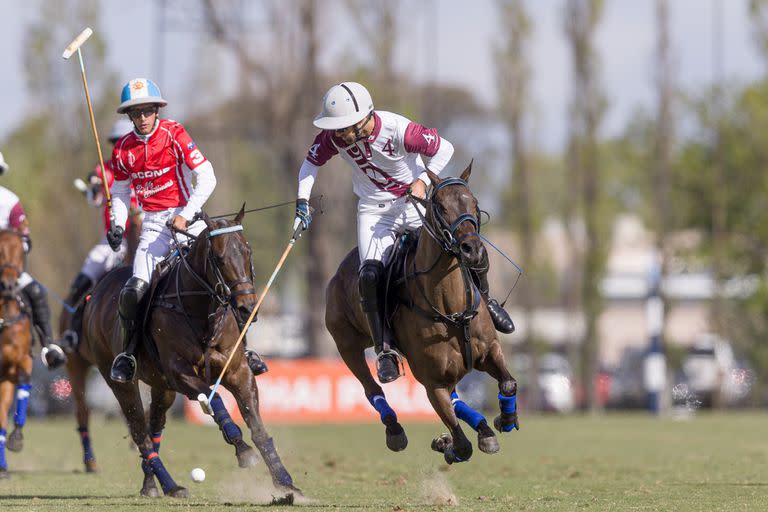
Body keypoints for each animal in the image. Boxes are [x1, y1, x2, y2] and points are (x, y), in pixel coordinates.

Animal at [81, 209, 296, 500]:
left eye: (248, 251)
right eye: (219, 258)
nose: (247, 307)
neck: (203, 312)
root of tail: (97, 291)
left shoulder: (239, 372)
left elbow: (258, 427)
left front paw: (286, 483)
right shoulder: (181, 374)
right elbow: (214, 401)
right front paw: (242, 449)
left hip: (162, 386)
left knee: (155, 427)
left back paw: (151, 484)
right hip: (119, 381)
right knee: (140, 432)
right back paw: (172, 485)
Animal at [328, 164, 520, 464]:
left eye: (474, 202)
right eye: (440, 206)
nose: (472, 249)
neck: (451, 309)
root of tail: (340, 271)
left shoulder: (489, 351)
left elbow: (509, 383)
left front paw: (505, 419)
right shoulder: (432, 382)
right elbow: (461, 445)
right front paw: (447, 444)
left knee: (458, 399)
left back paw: (484, 427)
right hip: (346, 343)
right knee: (372, 388)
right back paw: (395, 429)